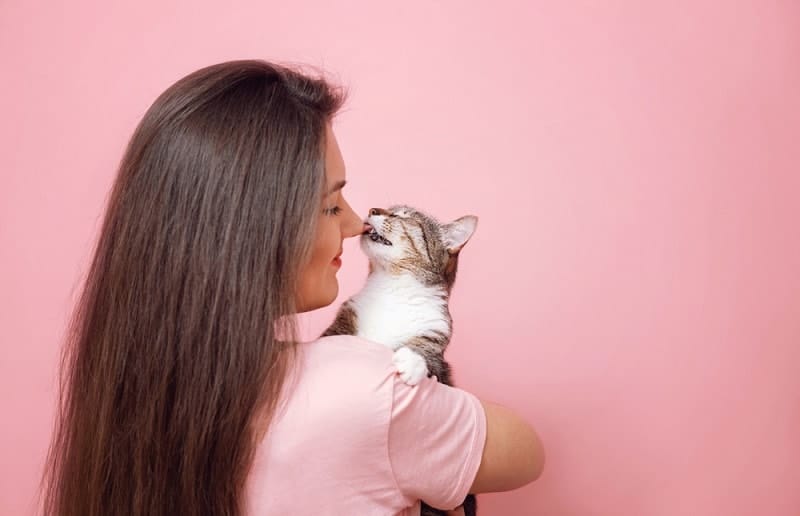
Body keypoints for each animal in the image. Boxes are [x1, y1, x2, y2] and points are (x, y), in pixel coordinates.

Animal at [320, 204, 482, 512]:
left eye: (405, 216)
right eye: (388, 208)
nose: (374, 208)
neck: (392, 287)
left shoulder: (436, 334)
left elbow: (427, 354)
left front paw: (410, 361)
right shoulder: (347, 316)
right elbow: (333, 337)